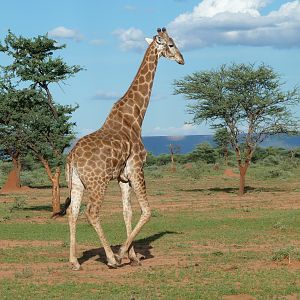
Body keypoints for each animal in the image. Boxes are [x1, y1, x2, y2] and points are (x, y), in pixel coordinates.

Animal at [54, 27, 184, 270]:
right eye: (171, 44)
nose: (182, 59)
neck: (135, 117)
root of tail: (72, 156)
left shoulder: (123, 177)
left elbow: (127, 212)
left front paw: (133, 256)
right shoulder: (136, 168)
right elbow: (147, 211)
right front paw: (123, 253)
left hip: (75, 181)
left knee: (73, 213)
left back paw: (74, 261)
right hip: (98, 182)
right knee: (91, 212)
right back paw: (111, 259)